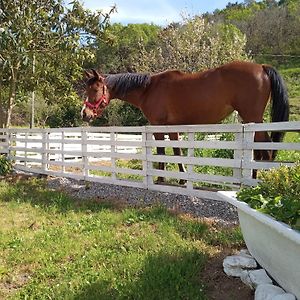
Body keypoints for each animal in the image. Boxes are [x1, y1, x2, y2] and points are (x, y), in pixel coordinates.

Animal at [81, 61, 288, 182]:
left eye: (95, 90)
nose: (84, 114)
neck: (148, 89)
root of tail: (261, 67)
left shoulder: (158, 126)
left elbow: (162, 152)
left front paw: (161, 179)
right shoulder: (173, 127)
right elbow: (177, 152)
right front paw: (181, 179)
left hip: (254, 119)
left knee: (266, 151)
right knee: (261, 151)